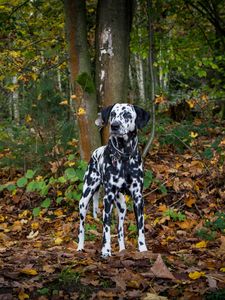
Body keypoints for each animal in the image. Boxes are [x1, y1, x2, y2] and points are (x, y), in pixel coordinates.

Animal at [77, 103, 149, 258]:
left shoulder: (138, 198)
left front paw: (143, 249)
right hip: (85, 199)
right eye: (113, 114)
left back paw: (122, 250)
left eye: (127, 115)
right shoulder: (108, 198)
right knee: (81, 228)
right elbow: (106, 229)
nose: (115, 125)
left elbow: (140, 228)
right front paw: (106, 250)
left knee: (120, 229)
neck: (124, 157)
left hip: (122, 206)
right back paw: (79, 248)